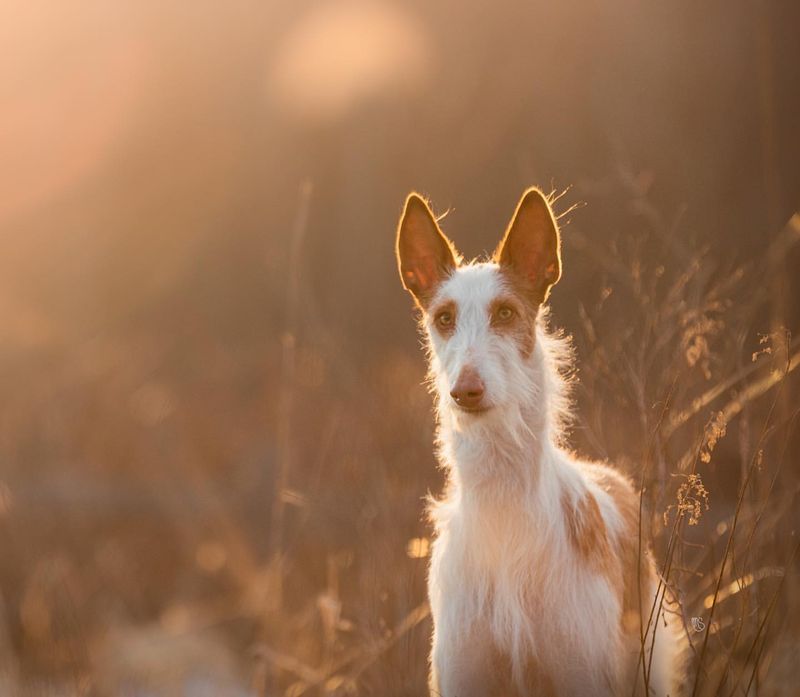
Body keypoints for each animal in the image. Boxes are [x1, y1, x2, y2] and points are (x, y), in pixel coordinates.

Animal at [394, 188, 680, 692]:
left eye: (506, 313)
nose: (465, 391)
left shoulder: (581, 670)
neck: (505, 511)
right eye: (444, 318)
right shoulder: (465, 672)